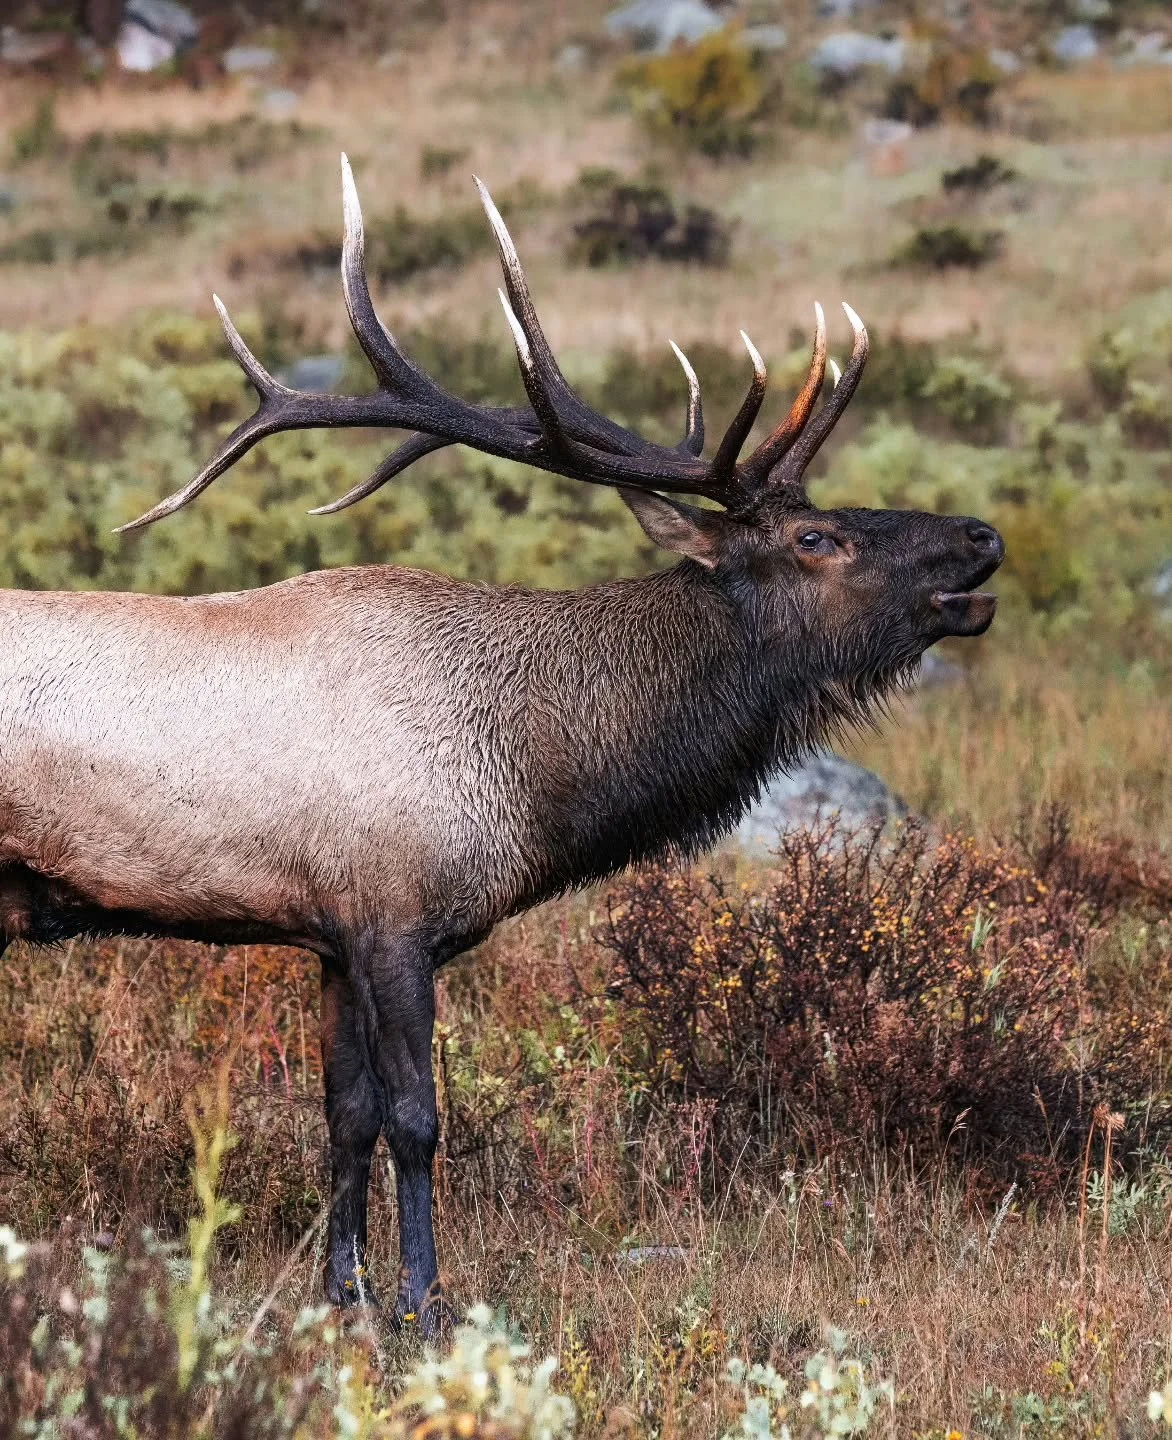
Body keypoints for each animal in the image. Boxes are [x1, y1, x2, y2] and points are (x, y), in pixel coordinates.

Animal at [0, 157, 1004, 1335]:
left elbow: (342, 1116)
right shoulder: (393, 912)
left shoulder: (330, 930)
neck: (530, 775)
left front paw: (341, 1293)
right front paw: (422, 1301)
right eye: (817, 537)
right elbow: (415, 1117)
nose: (981, 535)